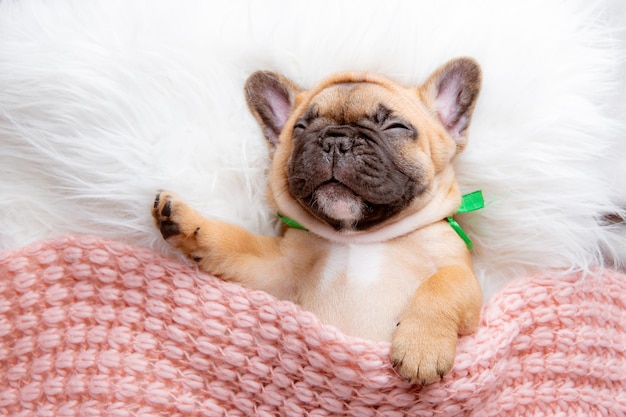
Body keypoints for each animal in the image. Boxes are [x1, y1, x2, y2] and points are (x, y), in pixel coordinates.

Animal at [152, 57, 482, 384]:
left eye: (396, 126)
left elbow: (444, 285)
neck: (360, 238)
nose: (336, 140)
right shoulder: (276, 268)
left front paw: (421, 347)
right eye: (300, 128)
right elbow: (234, 242)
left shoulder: (461, 270)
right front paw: (188, 220)